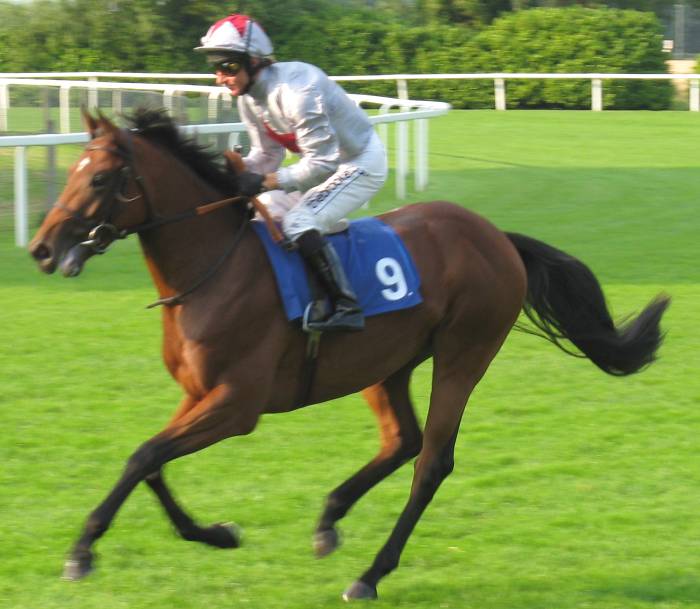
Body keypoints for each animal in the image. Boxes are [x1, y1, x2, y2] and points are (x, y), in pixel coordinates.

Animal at [29, 108, 669, 601]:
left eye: (101, 178)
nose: (42, 248)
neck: (215, 269)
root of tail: (497, 237)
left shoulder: (237, 405)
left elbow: (143, 457)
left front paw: (81, 552)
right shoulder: (198, 394)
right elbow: (151, 461)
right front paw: (216, 533)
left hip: (464, 353)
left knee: (431, 460)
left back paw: (370, 574)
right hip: (387, 364)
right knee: (403, 439)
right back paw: (330, 518)